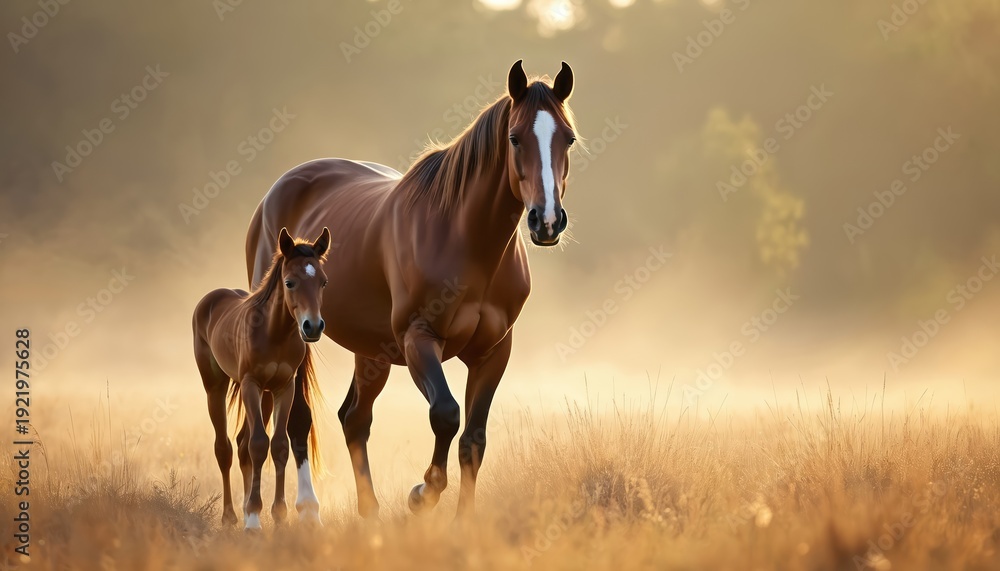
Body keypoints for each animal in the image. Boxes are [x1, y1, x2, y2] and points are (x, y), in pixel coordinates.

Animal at [193, 227, 331, 530]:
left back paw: (244, 511)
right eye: (290, 282)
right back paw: (231, 516)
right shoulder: (250, 385)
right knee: (225, 447)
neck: (274, 332)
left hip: (265, 396)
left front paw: (278, 516)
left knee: (242, 443)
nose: (313, 327)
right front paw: (254, 521)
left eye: (323, 283)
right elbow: (259, 444)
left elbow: (278, 445)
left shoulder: (284, 387)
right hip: (215, 386)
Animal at [244, 60, 577, 520]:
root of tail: (277, 192)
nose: (547, 221)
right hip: (296, 338)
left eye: (568, 138)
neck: (464, 239)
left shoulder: (493, 352)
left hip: (372, 351)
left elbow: (473, 439)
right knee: (298, 419)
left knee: (354, 419)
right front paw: (422, 493)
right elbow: (446, 414)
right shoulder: (419, 339)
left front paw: (463, 521)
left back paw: (369, 511)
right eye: (514, 137)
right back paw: (307, 508)